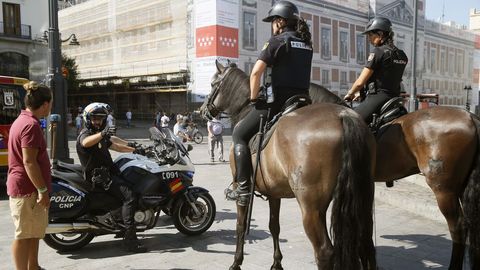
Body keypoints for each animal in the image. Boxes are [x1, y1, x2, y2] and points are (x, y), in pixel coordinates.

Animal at [201, 61, 376, 270]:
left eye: (213, 84)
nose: (201, 111)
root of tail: (342, 115)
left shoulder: (241, 189)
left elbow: (241, 225)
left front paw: (236, 262)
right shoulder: (274, 192)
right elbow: (274, 226)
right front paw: (277, 262)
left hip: (311, 207)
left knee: (324, 251)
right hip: (362, 197)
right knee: (366, 243)